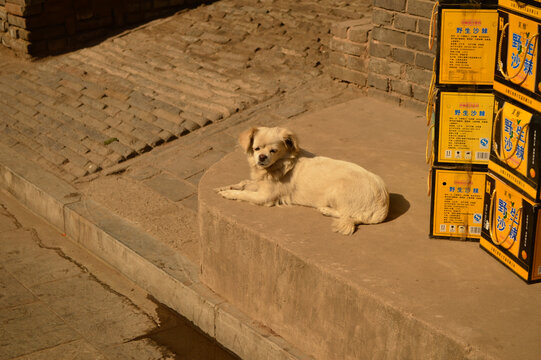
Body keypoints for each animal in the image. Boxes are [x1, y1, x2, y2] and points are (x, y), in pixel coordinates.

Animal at [215, 127, 388, 236]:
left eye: (273, 151)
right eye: (256, 148)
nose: (262, 157)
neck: (278, 165)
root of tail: (383, 207)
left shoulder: (265, 197)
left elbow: (244, 194)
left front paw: (229, 193)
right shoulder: (260, 184)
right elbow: (244, 183)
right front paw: (225, 187)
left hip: (336, 189)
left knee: (349, 215)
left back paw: (325, 210)